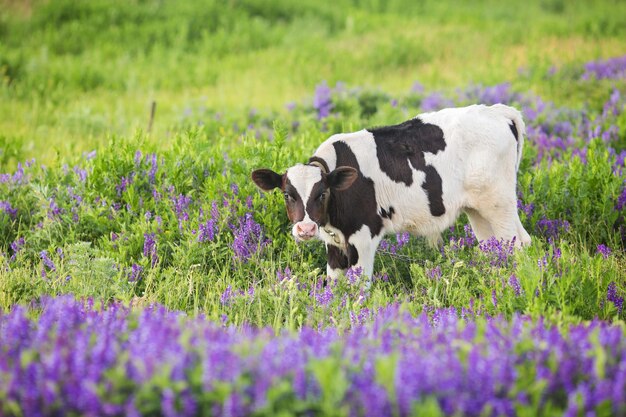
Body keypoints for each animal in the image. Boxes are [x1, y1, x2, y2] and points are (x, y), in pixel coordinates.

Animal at [251, 104, 528, 280]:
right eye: (287, 194)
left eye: (321, 194)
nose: (305, 229)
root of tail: (497, 111)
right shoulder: (335, 243)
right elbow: (335, 284)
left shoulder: (364, 235)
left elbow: (359, 286)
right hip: (478, 209)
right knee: (495, 246)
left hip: (499, 204)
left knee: (514, 245)